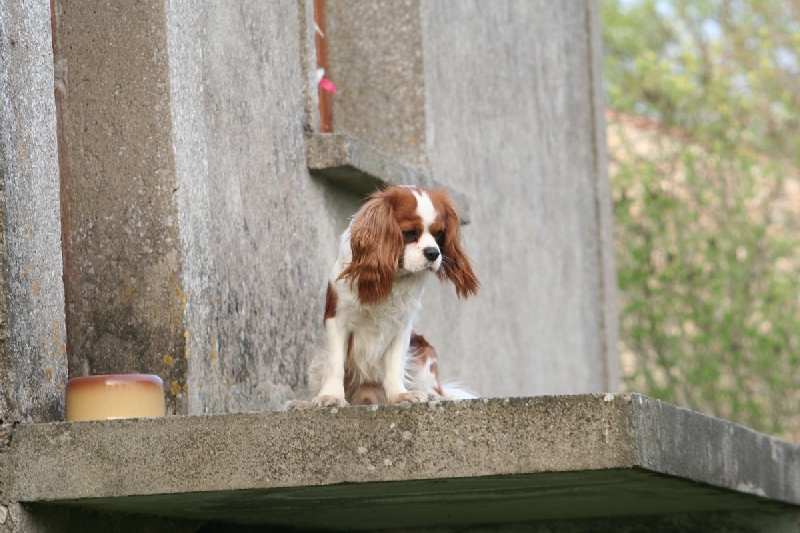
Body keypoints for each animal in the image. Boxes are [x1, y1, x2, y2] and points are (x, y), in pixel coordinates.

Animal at [290, 184, 478, 408]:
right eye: (410, 233)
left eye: (439, 233)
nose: (433, 253)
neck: (392, 276)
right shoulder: (337, 319)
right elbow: (335, 364)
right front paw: (331, 396)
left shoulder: (402, 326)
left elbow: (395, 364)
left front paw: (399, 395)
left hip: (424, 352)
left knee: (437, 389)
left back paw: (432, 396)